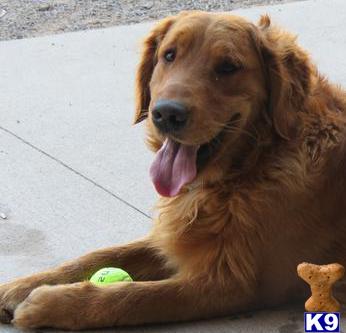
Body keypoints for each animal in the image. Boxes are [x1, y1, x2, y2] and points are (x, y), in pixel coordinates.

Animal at [0, 11, 346, 330]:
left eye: (228, 67)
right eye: (169, 55)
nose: (166, 113)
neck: (252, 165)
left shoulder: (234, 283)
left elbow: (134, 297)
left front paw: (51, 303)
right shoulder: (175, 235)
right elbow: (102, 255)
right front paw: (20, 286)